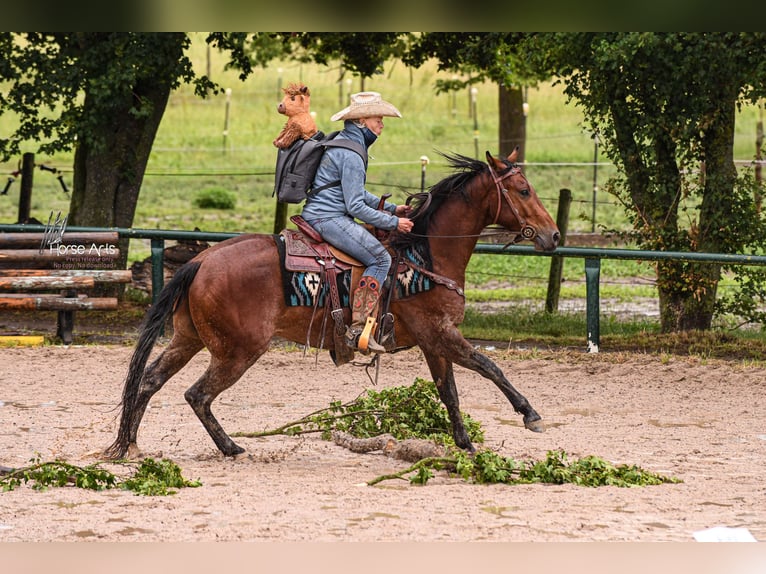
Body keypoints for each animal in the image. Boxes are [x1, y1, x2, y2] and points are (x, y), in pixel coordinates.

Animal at [105, 148, 560, 459]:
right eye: (523, 190)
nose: (553, 235)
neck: (426, 255)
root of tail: (200, 261)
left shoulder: (435, 342)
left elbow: (449, 392)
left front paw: (465, 443)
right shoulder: (441, 334)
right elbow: (489, 366)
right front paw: (530, 414)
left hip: (188, 339)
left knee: (148, 381)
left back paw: (130, 445)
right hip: (238, 351)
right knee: (197, 394)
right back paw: (231, 447)